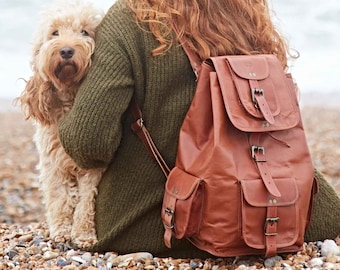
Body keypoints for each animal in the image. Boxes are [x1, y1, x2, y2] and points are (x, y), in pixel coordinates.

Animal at [16, 0, 103, 249]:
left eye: (84, 32)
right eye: (55, 33)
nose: (66, 51)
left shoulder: (93, 166)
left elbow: (86, 201)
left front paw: (83, 234)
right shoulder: (53, 164)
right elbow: (61, 197)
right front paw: (62, 231)